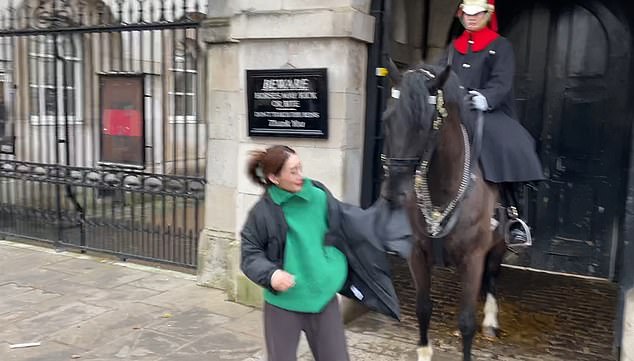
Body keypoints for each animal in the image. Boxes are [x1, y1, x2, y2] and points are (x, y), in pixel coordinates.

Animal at [378, 62, 506, 360]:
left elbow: (467, 321)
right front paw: (424, 352)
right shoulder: (417, 253)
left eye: (423, 126)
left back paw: (490, 321)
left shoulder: (473, 257)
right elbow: (423, 307)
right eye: (387, 118)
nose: (393, 193)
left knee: (492, 274)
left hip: (499, 244)